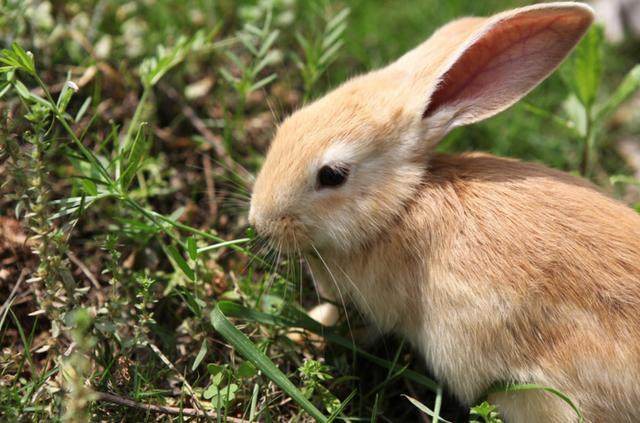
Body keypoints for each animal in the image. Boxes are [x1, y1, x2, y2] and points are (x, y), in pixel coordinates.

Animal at [249, 3, 640, 423]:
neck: (400, 205)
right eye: (290, 122)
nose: (260, 221)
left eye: (332, 175)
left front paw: (299, 332)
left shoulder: (377, 307)